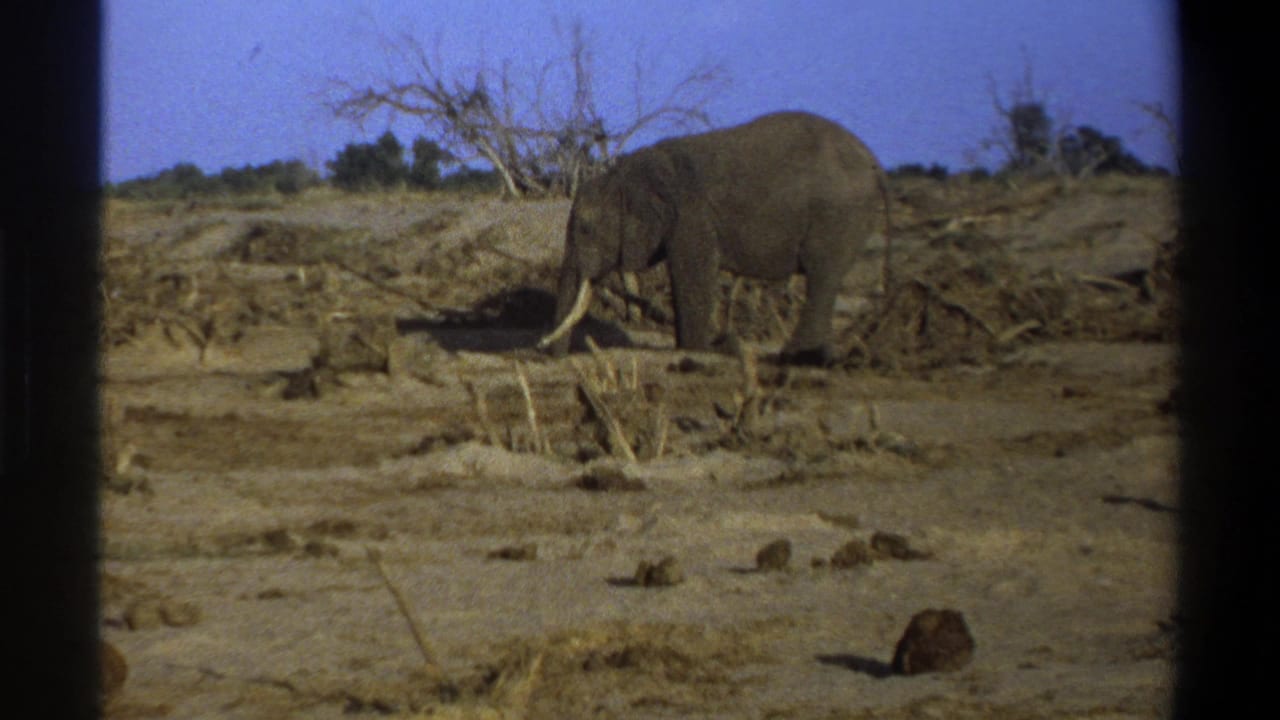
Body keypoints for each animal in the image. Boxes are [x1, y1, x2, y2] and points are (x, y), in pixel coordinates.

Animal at [539, 111, 890, 365]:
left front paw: (695, 349)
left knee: (821, 276)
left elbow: (693, 273)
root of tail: (874, 163)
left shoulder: (691, 215)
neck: (625, 173)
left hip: (836, 214)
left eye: (586, 229)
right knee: (826, 280)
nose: (549, 355)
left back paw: (796, 358)